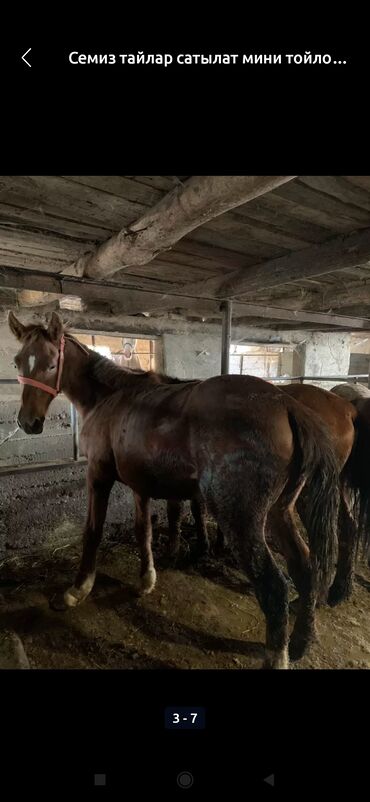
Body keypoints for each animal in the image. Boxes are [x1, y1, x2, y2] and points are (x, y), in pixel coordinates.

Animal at [7, 310, 342, 664]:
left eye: (51, 363)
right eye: (18, 361)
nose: (28, 423)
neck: (109, 398)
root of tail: (286, 405)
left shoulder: (98, 475)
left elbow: (92, 532)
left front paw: (76, 591)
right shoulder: (139, 484)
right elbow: (143, 530)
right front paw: (146, 580)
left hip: (242, 521)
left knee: (274, 588)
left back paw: (278, 656)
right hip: (280, 512)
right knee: (305, 568)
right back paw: (302, 642)